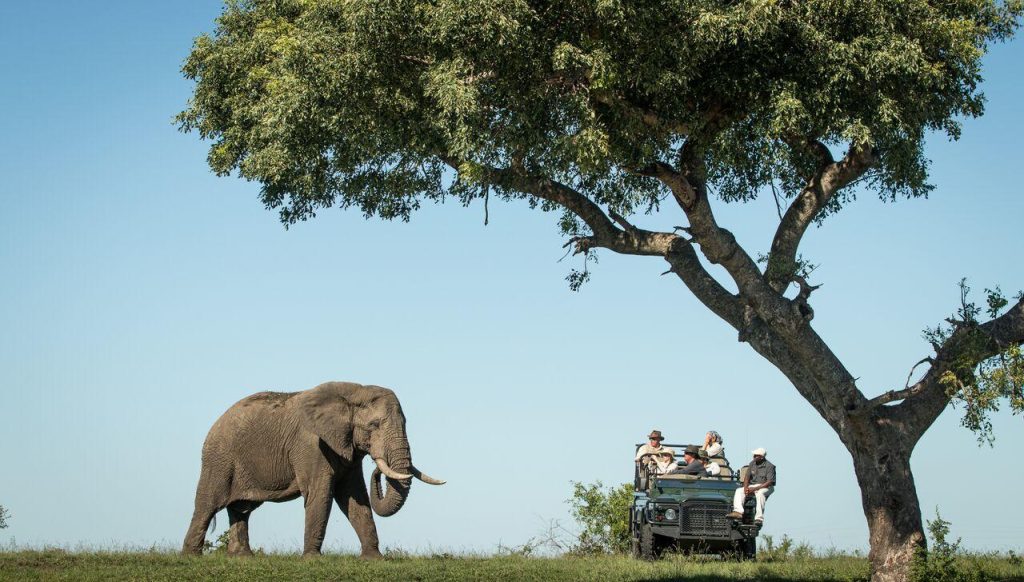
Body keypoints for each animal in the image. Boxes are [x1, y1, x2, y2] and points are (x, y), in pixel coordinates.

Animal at [183, 381, 444, 553]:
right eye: (374, 425)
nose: (378, 467)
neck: (354, 391)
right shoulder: (311, 445)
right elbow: (321, 493)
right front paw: (311, 558)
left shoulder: (346, 446)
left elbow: (354, 496)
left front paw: (373, 559)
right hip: (219, 459)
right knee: (207, 505)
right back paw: (190, 556)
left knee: (241, 509)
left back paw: (243, 558)